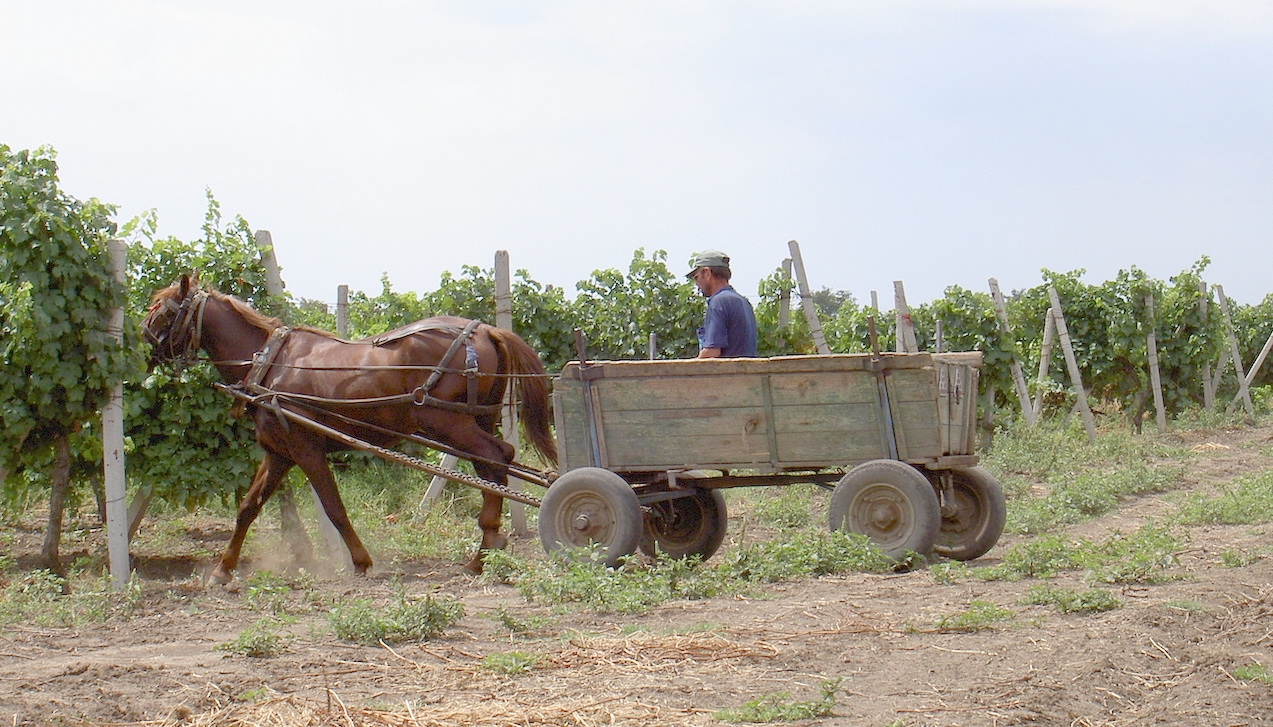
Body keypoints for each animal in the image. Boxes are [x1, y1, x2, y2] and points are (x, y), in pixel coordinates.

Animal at [143, 274, 557, 584]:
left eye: (160, 311)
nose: (144, 348)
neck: (270, 362)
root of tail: (485, 330)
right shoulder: (279, 452)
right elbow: (248, 507)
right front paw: (222, 569)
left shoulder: (306, 449)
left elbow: (334, 508)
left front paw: (361, 560)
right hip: (476, 419)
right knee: (493, 467)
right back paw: (487, 545)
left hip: (446, 422)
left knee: (496, 456)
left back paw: (484, 547)